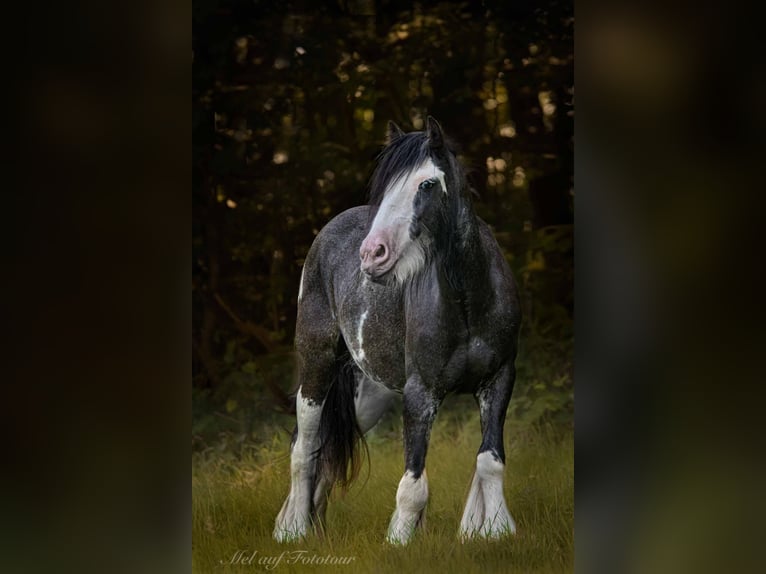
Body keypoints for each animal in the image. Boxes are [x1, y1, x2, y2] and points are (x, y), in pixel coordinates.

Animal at [274, 119, 520, 548]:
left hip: (369, 395)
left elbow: (490, 462)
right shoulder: (421, 394)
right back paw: (293, 531)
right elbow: (413, 484)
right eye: (385, 187)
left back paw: (313, 525)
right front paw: (401, 540)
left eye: (426, 184)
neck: (469, 301)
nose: (372, 254)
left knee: (325, 453)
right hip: (316, 369)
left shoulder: (499, 379)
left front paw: (493, 531)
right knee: (303, 449)